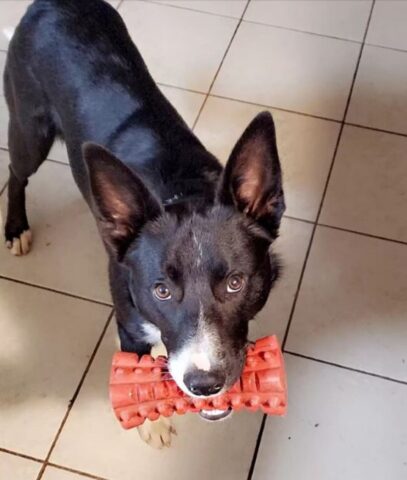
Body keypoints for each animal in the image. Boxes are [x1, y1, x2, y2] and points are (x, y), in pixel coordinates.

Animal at [3, 0, 286, 446]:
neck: (183, 190)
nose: (204, 385)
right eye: (162, 291)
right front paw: (152, 422)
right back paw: (16, 227)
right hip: (30, 128)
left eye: (236, 283)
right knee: (17, 173)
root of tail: (48, 4)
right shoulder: (130, 326)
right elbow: (137, 372)